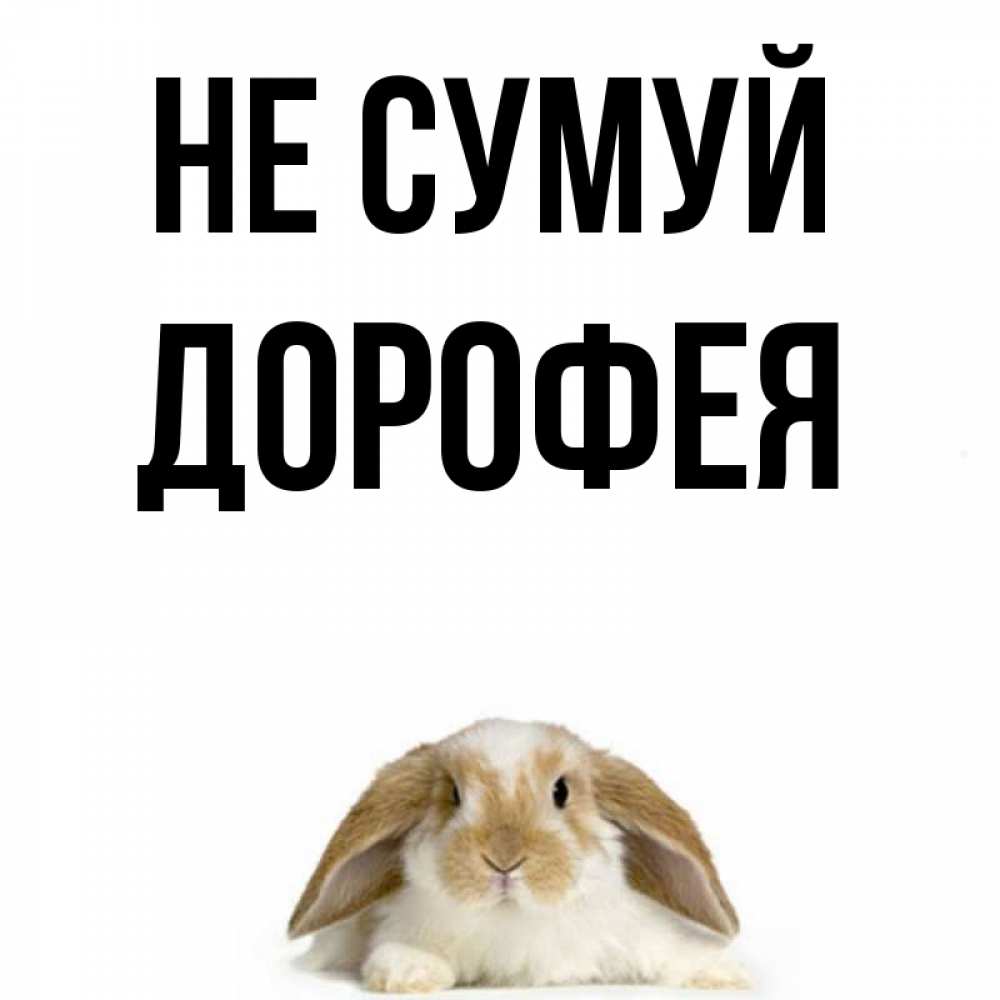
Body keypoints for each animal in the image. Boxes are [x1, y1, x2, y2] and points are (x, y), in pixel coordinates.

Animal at [288, 719, 750, 991]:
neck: (514, 919)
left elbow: (674, 950)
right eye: (453, 795)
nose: (504, 859)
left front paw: (725, 973)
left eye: (561, 791)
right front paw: (409, 973)